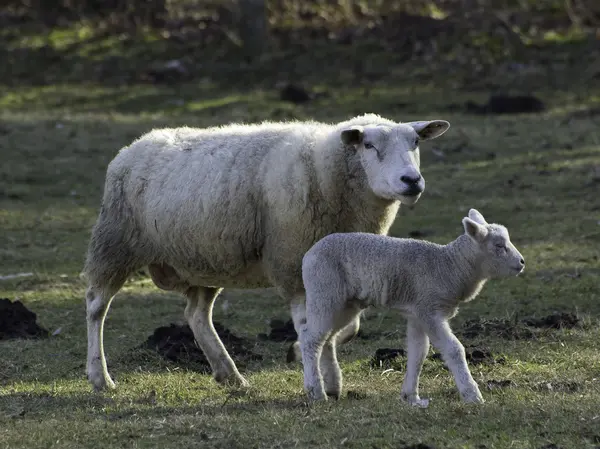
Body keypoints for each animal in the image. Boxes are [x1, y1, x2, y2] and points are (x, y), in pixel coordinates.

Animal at [83, 112, 450, 388]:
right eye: (370, 145)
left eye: (416, 143)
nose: (411, 181)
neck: (325, 171)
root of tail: (133, 147)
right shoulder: (293, 263)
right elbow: (311, 325)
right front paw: (315, 373)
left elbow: (346, 327)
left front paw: (315, 365)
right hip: (115, 243)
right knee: (96, 306)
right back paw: (100, 377)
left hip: (204, 258)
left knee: (197, 314)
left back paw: (229, 374)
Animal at [300, 208, 524, 404]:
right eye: (499, 245)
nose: (522, 262)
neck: (450, 267)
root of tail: (308, 254)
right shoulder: (429, 311)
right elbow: (453, 349)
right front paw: (472, 395)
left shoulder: (417, 313)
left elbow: (418, 353)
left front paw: (411, 396)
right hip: (324, 292)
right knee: (310, 339)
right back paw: (316, 392)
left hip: (345, 303)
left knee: (326, 339)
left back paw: (332, 387)